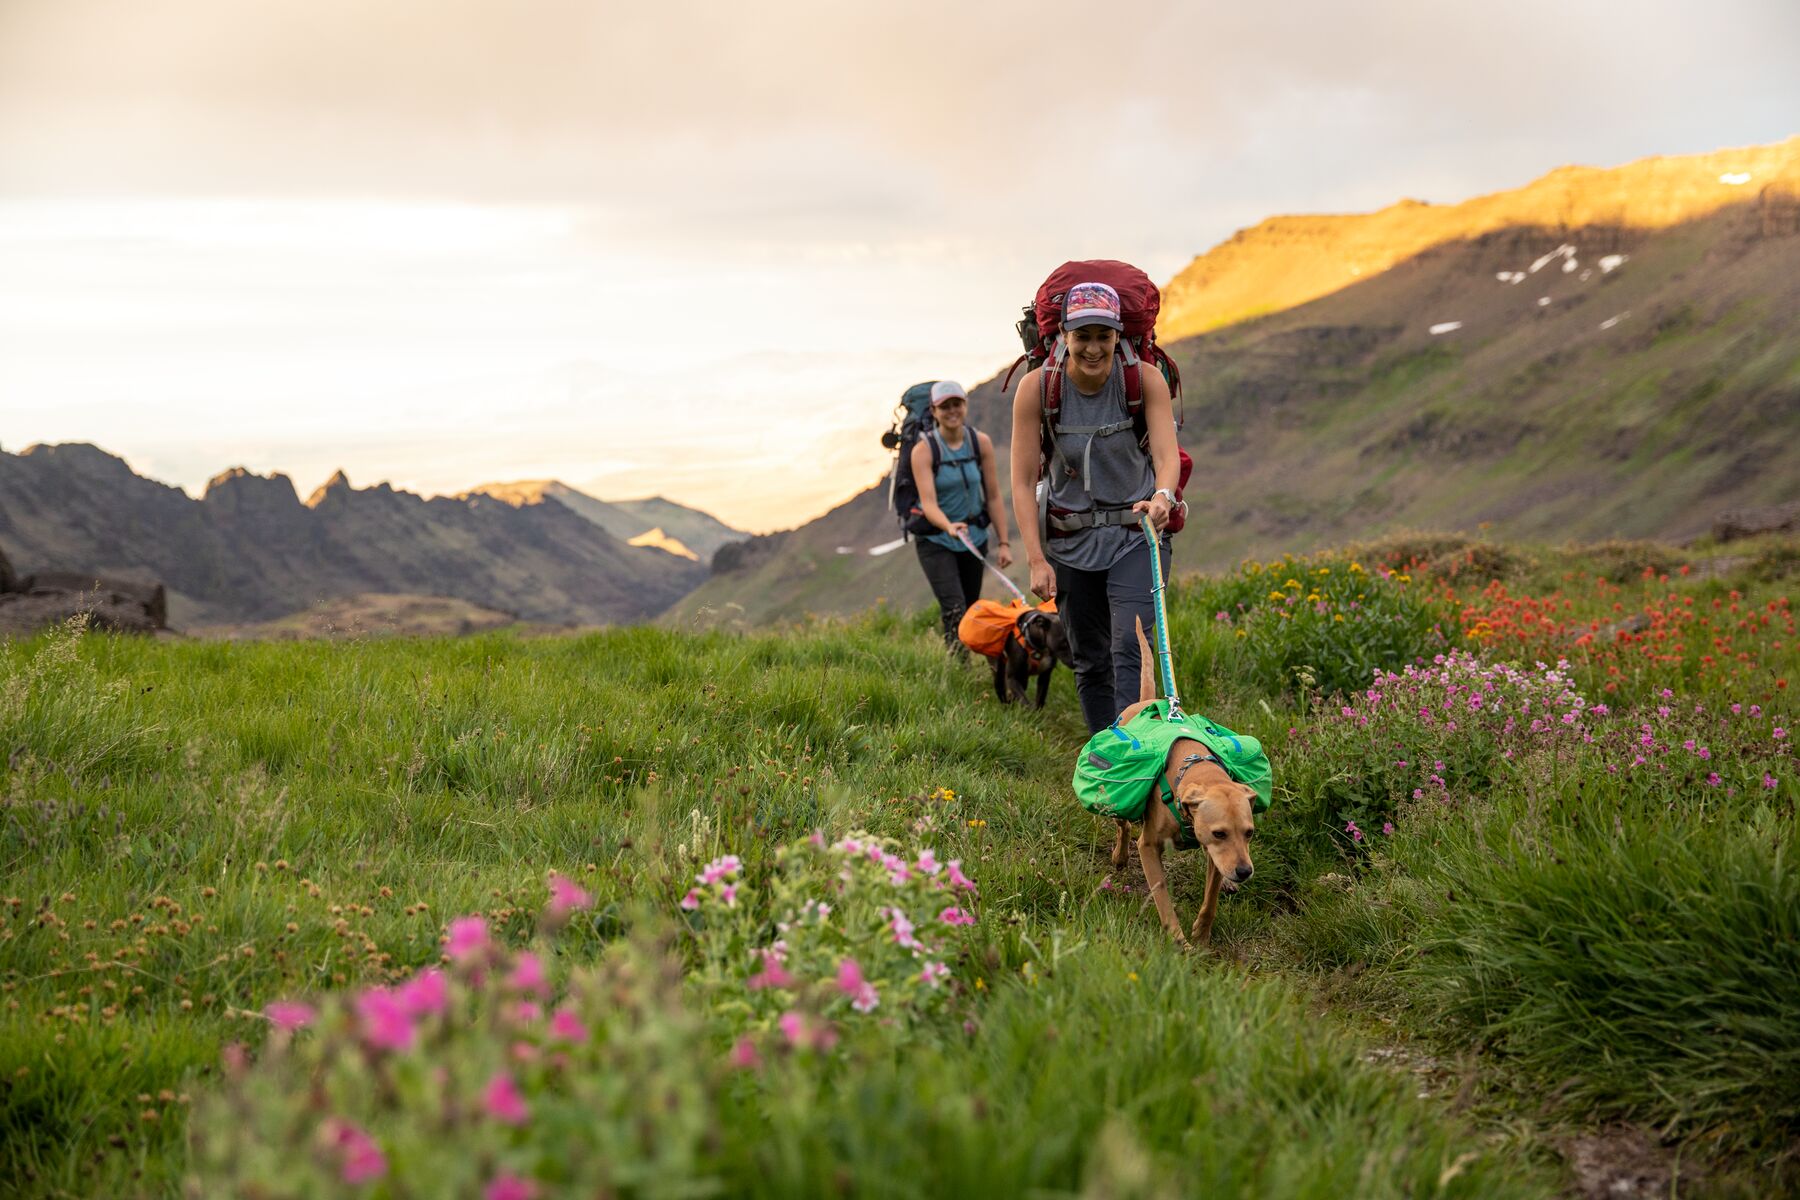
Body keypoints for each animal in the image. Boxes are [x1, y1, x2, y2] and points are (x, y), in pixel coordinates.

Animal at [1101, 618, 1260, 949]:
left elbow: (1211, 898)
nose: (1243, 871)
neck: (1196, 768)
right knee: (1122, 825)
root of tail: (1147, 700)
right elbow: (1162, 897)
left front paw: (1201, 934)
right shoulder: (1150, 846)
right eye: (1220, 832)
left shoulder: (1214, 854)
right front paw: (1178, 941)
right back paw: (1120, 857)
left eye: (1249, 833)